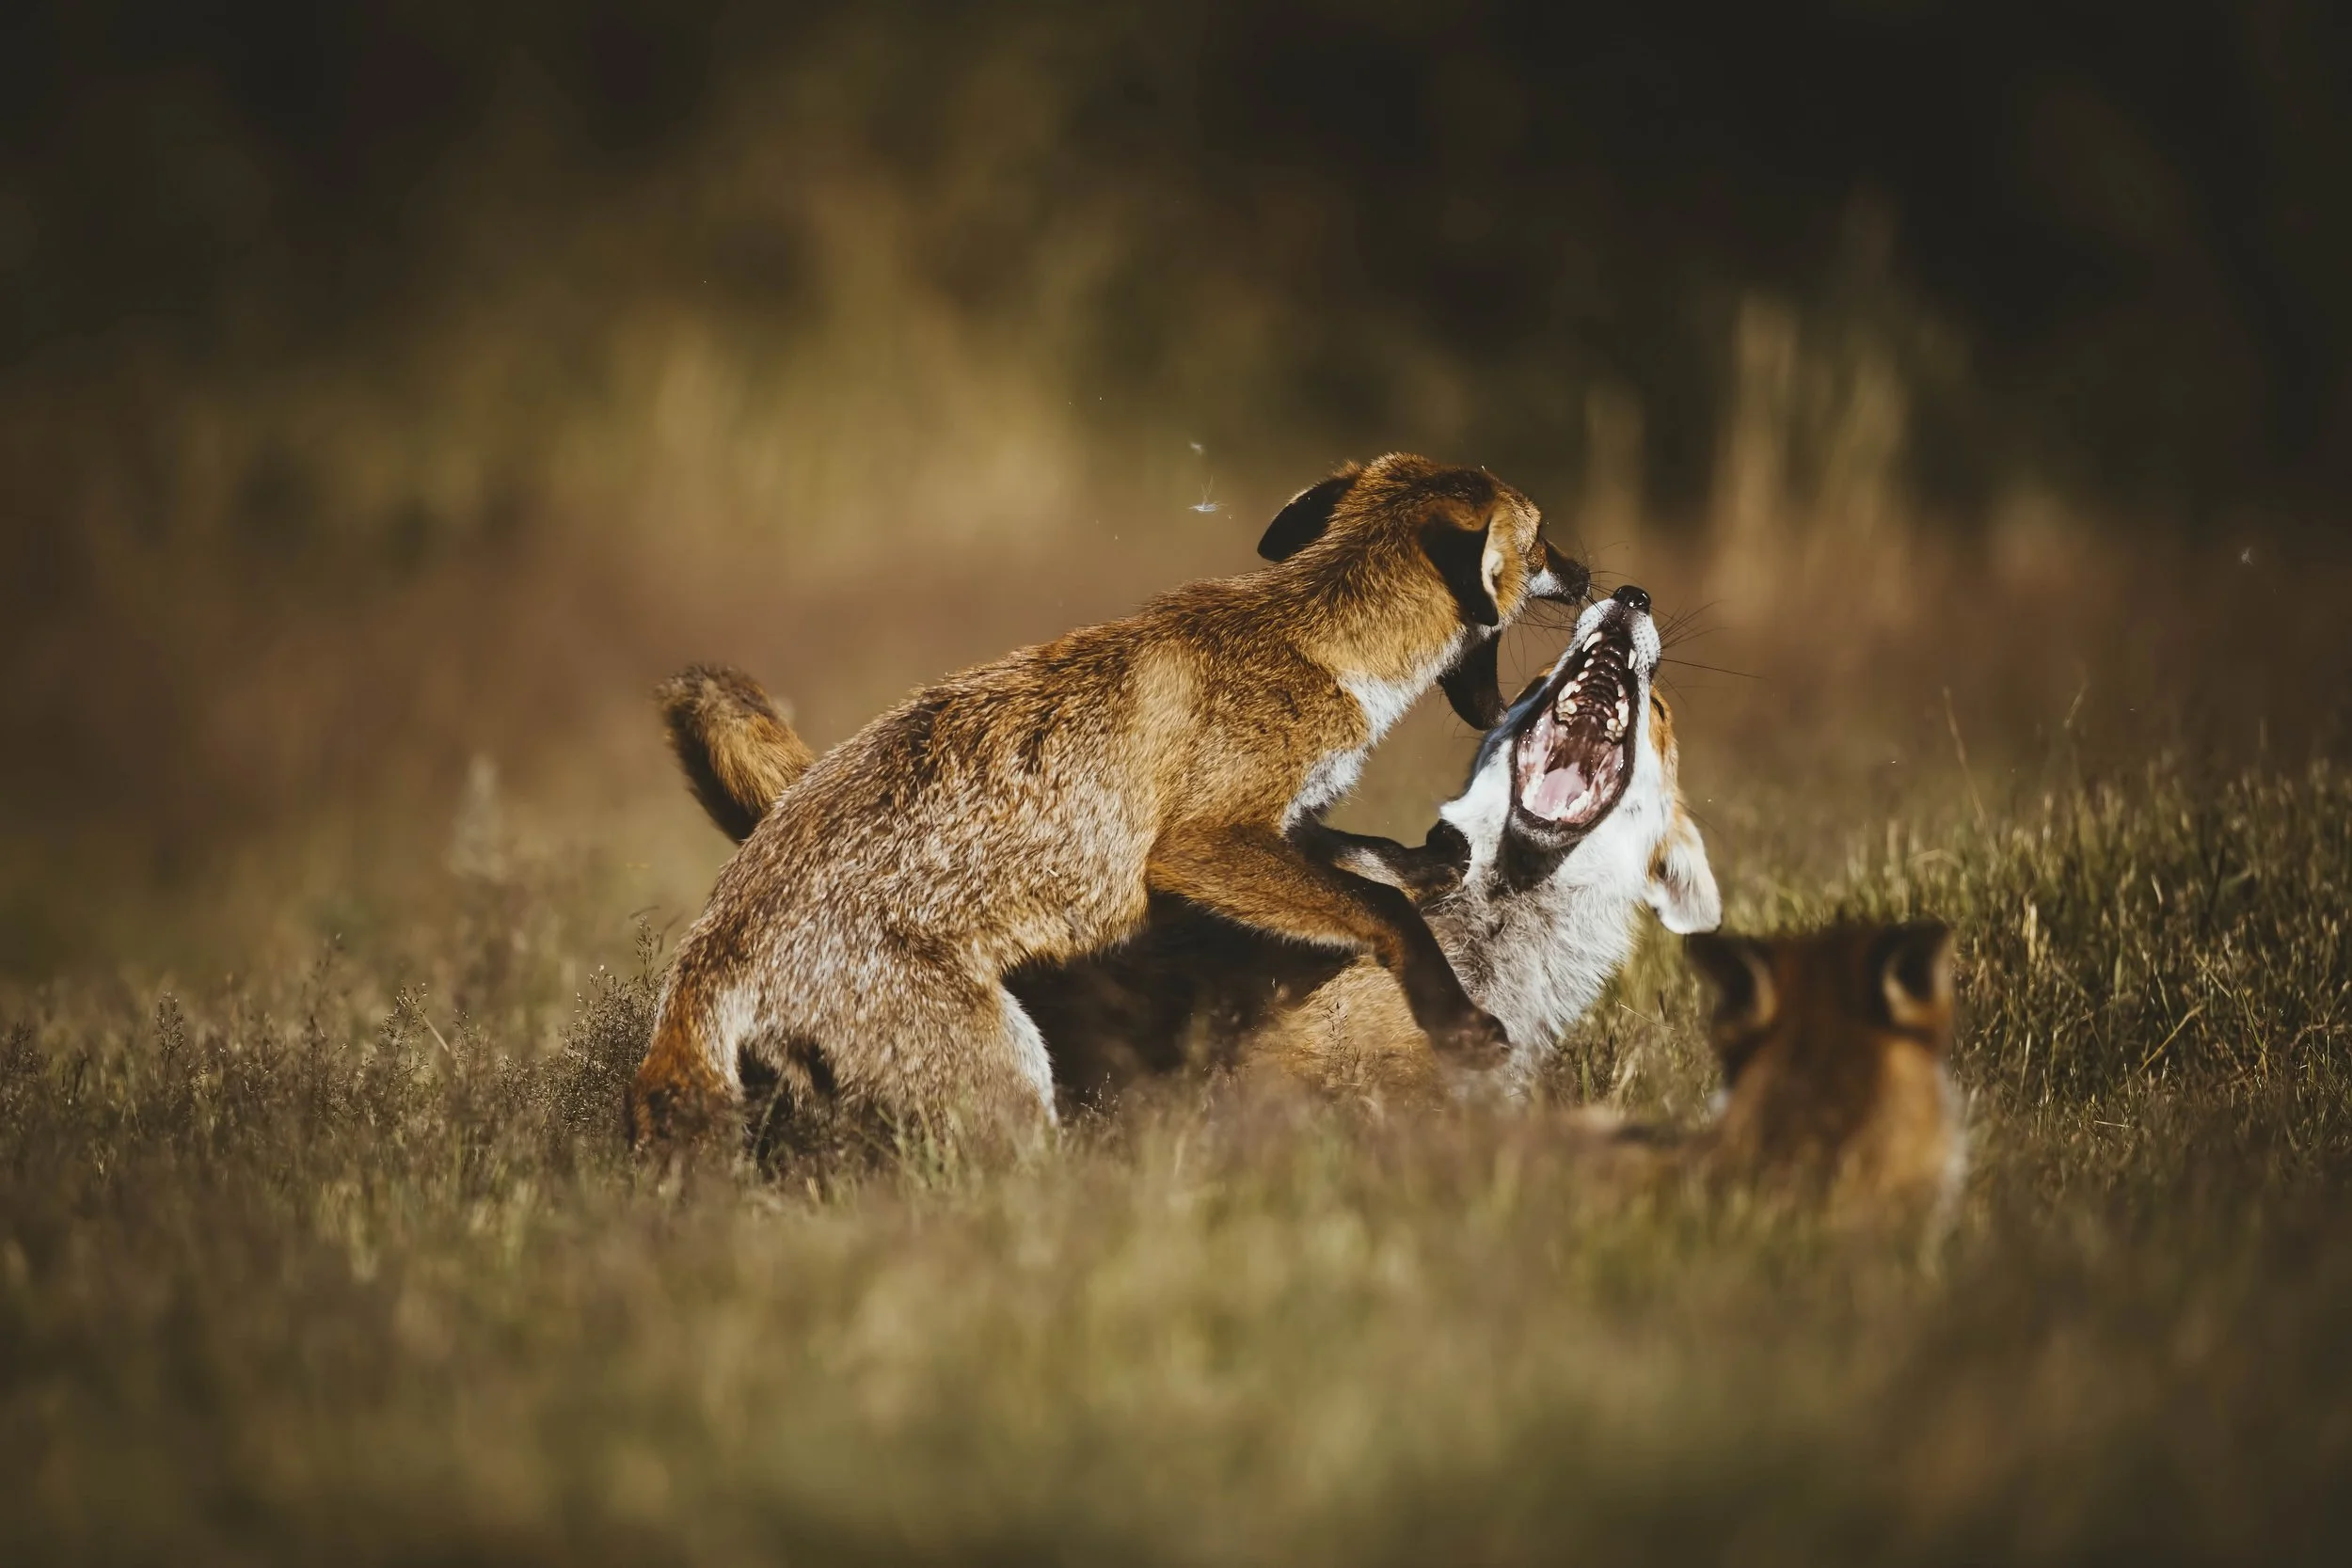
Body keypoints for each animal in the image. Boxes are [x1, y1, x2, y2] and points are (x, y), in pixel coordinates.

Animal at [628, 455, 1588, 1151]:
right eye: (1543, 540)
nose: (1594, 576)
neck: (1318, 649)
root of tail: (714, 939)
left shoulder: (1269, 827)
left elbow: (1366, 859)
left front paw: (1436, 861)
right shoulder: (1196, 845)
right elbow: (1382, 908)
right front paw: (1458, 1021)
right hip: (1010, 1076)